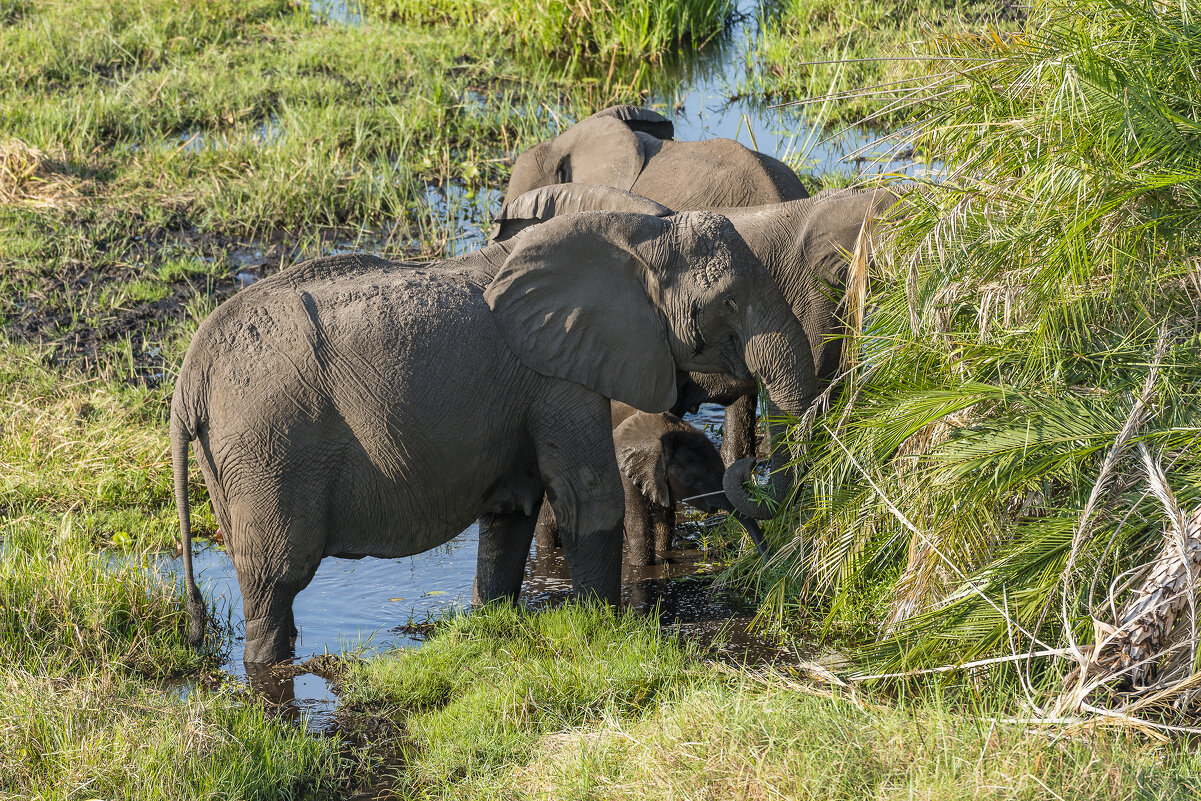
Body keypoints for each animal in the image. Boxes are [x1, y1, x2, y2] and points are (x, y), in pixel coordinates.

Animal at [535, 403, 768, 566]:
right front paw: (642, 567)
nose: (765, 563)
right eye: (696, 481)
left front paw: (663, 554)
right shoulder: (623, 473)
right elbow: (638, 524)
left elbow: (665, 517)